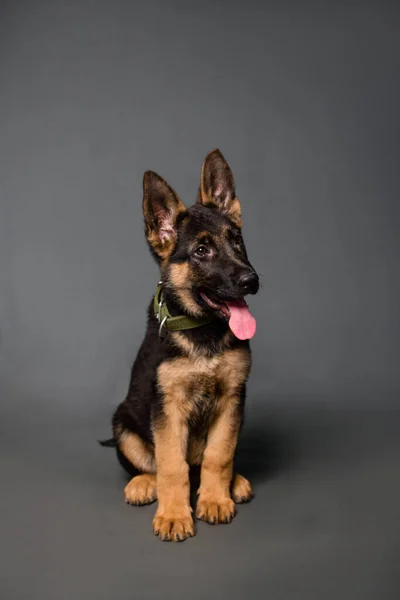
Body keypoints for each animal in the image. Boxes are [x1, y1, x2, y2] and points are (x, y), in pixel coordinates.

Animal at [101, 148, 260, 540]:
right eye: (201, 250)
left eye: (237, 240)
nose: (251, 281)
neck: (203, 330)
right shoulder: (167, 408)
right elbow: (171, 465)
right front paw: (174, 514)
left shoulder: (233, 398)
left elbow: (219, 456)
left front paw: (215, 498)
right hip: (122, 422)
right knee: (153, 465)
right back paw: (144, 484)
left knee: (201, 464)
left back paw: (232, 482)